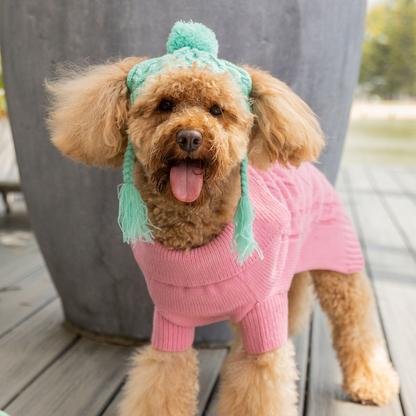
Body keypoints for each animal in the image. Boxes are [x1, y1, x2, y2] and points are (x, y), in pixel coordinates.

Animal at [46, 21, 400, 416]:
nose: (189, 137)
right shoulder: (170, 322)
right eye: (165, 105)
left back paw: (372, 382)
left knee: (357, 327)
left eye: (217, 110)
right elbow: (163, 379)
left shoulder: (262, 316)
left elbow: (260, 383)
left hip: (340, 273)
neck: (194, 227)